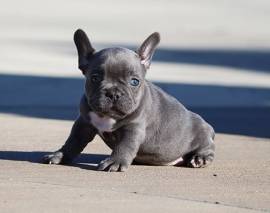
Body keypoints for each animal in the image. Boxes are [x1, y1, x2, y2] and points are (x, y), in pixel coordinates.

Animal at [42, 29, 215, 171]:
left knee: (208, 148)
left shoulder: (134, 128)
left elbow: (125, 145)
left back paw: (200, 158)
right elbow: (72, 141)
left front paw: (115, 162)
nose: (113, 93)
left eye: (134, 81)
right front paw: (59, 155)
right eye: (95, 78)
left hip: (202, 134)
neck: (108, 116)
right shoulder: (83, 123)